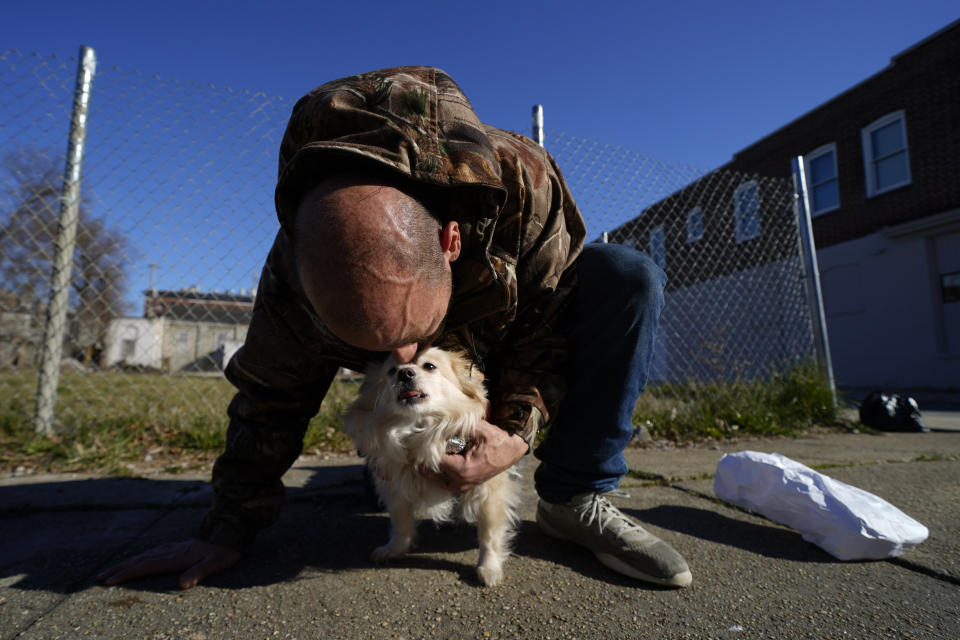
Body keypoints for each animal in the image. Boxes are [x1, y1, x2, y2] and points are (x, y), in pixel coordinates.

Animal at [344, 348, 520, 588]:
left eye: (429, 366)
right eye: (391, 371)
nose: (405, 373)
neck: (417, 427)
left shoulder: (487, 484)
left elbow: (489, 534)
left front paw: (489, 567)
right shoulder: (395, 486)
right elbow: (401, 524)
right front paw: (395, 549)